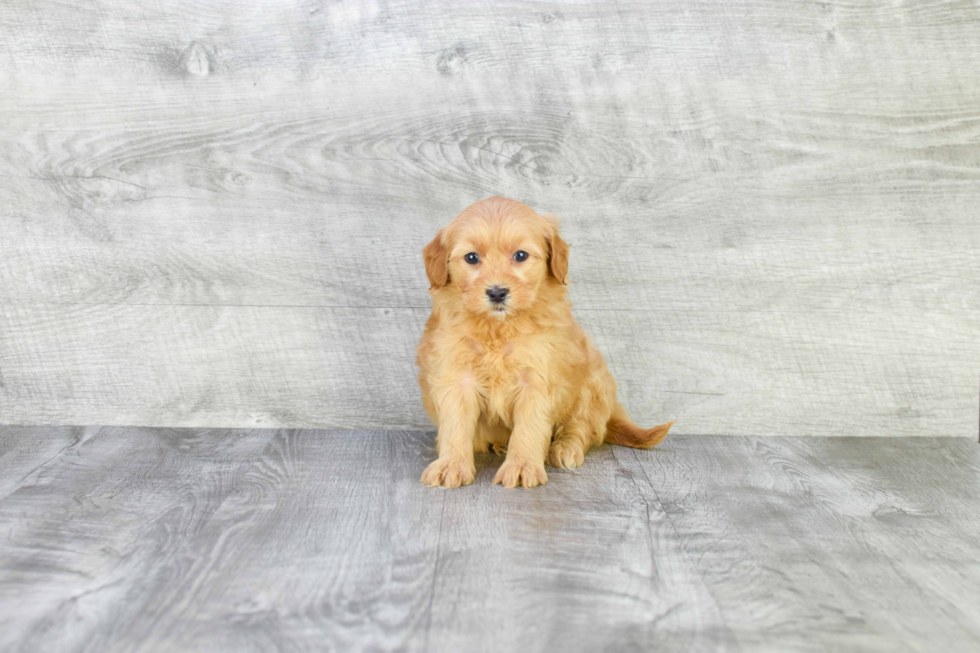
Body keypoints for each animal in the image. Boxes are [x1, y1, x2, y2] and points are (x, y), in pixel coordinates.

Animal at [414, 196, 672, 486]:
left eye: (520, 255)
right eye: (471, 257)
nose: (497, 292)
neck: (498, 328)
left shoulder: (537, 379)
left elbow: (529, 428)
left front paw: (522, 466)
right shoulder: (456, 377)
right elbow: (455, 427)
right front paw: (451, 466)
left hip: (592, 383)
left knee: (583, 427)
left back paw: (564, 447)